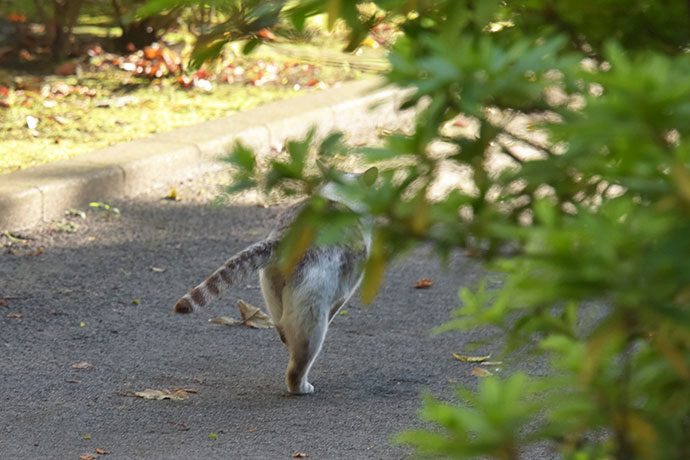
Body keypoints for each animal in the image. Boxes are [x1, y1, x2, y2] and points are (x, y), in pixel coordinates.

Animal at [172, 167, 376, 394]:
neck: (338, 197)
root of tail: (284, 238)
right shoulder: (346, 288)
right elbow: (336, 307)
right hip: (311, 310)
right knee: (298, 363)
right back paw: (301, 386)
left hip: (271, 289)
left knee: (281, 324)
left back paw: (285, 339)